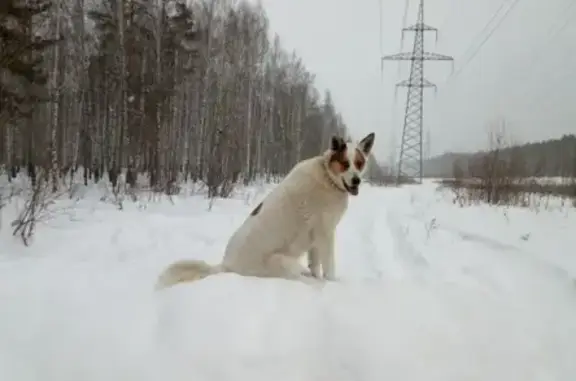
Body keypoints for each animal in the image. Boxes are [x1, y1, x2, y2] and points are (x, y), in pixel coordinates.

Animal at [155, 132, 376, 290]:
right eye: (345, 164)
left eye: (359, 163)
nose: (356, 180)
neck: (328, 177)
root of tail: (226, 266)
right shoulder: (325, 234)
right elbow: (329, 267)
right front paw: (333, 284)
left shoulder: (315, 240)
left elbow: (315, 265)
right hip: (281, 262)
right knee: (305, 281)